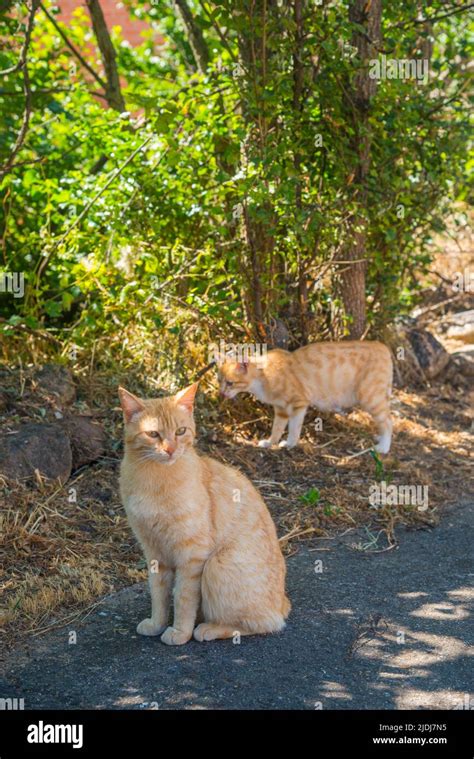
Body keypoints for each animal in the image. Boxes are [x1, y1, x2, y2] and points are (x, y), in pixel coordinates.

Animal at [118, 382, 288, 644]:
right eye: (153, 434)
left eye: (180, 431)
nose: (170, 450)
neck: (154, 480)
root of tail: (283, 602)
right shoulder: (154, 552)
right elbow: (158, 593)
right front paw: (157, 624)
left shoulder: (192, 555)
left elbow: (183, 598)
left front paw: (180, 632)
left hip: (216, 566)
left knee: (267, 623)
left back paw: (208, 628)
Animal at [218, 342, 392, 454]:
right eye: (219, 380)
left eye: (230, 383)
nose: (221, 393)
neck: (263, 376)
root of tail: (382, 346)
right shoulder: (280, 409)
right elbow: (277, 428)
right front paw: (270, 442)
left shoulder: (299, 404)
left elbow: (294, 428)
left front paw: (290, 444)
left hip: (370, 398)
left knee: (389, 422)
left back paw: (383, 447)